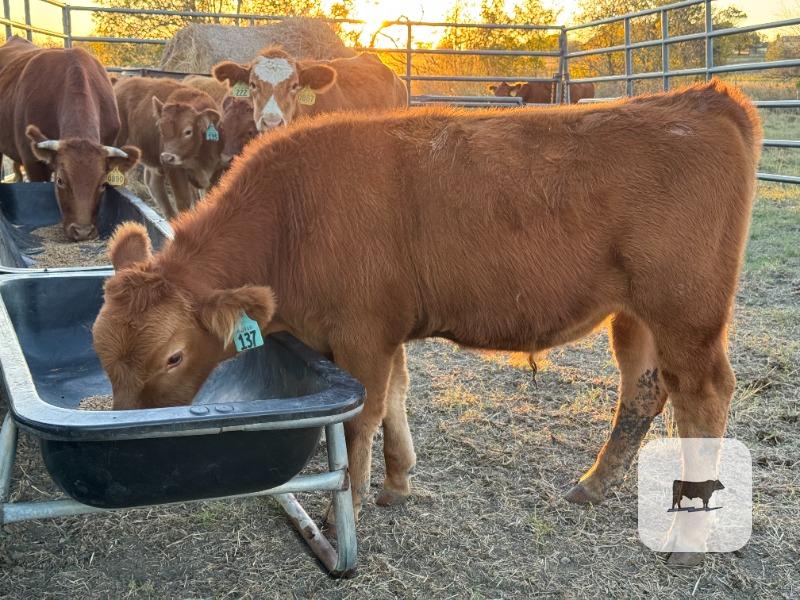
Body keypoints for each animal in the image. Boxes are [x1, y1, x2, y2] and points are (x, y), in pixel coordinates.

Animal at [114, 77, 222, 218]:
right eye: (161, 129)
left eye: (188, 131)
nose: (167, 157)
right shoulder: (175, 171)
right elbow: (184, 203)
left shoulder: (215, 173)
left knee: (154, 184)